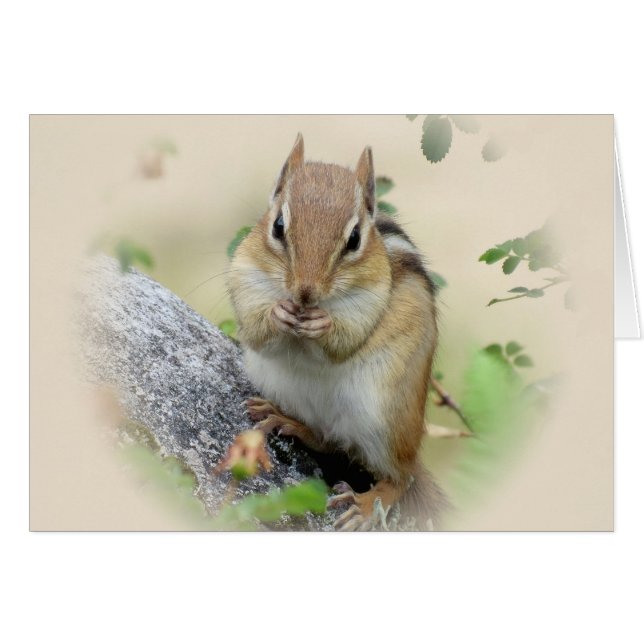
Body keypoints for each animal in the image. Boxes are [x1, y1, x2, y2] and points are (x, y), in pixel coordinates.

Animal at [228, 134, 448, 530]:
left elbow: (347, 337)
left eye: (355, 239)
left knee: (400, 478)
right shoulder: (245, 275)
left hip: (384, 416)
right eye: (278, 226)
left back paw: (367, 505)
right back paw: (284, 419)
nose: (305, 293)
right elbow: (254, 325)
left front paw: (324, 324)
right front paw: (278, 313)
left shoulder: (371, 300)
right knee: (327, 440)